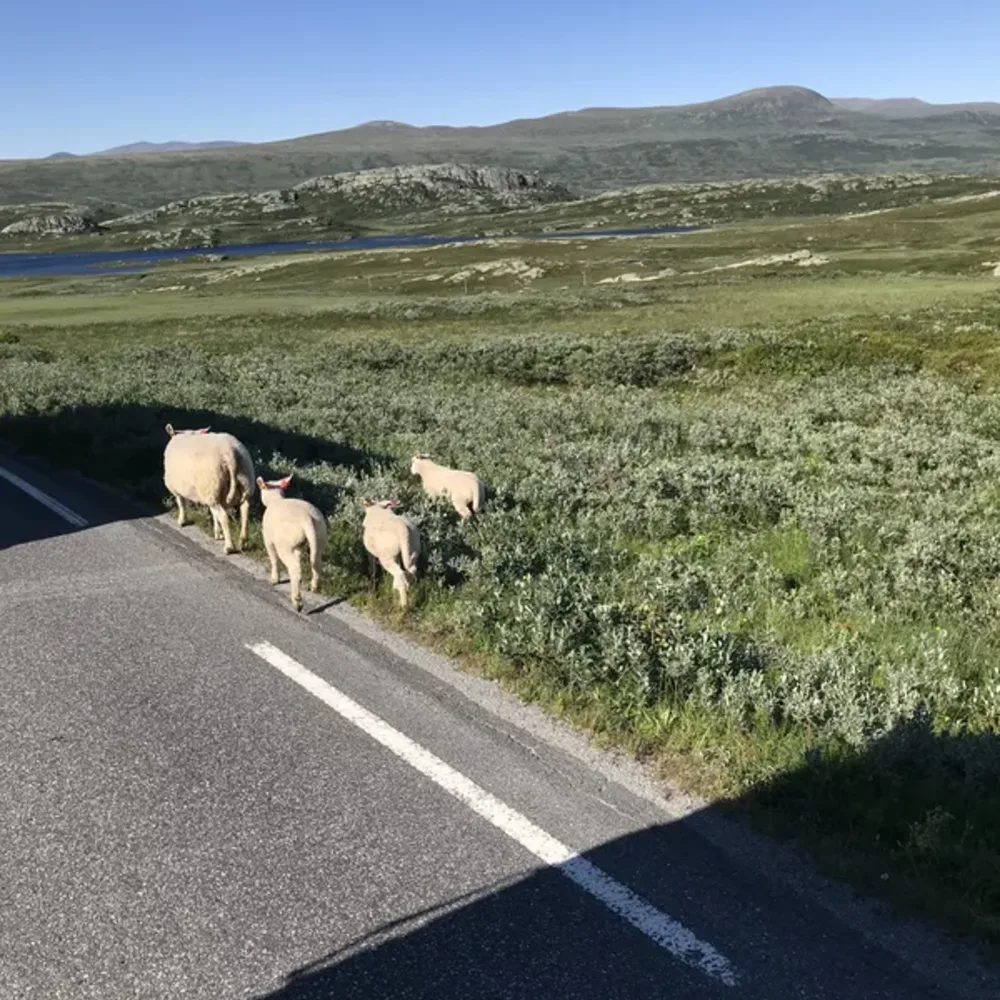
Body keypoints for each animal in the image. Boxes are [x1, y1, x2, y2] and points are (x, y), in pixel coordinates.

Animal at [163, 423, 255, 554]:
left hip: (212, 485)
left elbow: (181, 503)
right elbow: (213, 514)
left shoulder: (176, 488)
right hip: (242, 482)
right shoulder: (214, 495)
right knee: (244, 511)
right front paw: (218, 533)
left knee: (223, 516)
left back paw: (229, 547)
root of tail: (229, 453)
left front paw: (181, 521)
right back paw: (242, 542)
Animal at [257, 473, 328, 612]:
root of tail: (306, 518)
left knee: (295, 570)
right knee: (316, 563)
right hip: (319, 536)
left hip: (284, 545)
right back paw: (313, 587)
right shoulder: (298, 546)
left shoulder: (268, 539)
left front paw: (275, 579)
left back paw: (297, 602)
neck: (275, 499)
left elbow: (273, 558)